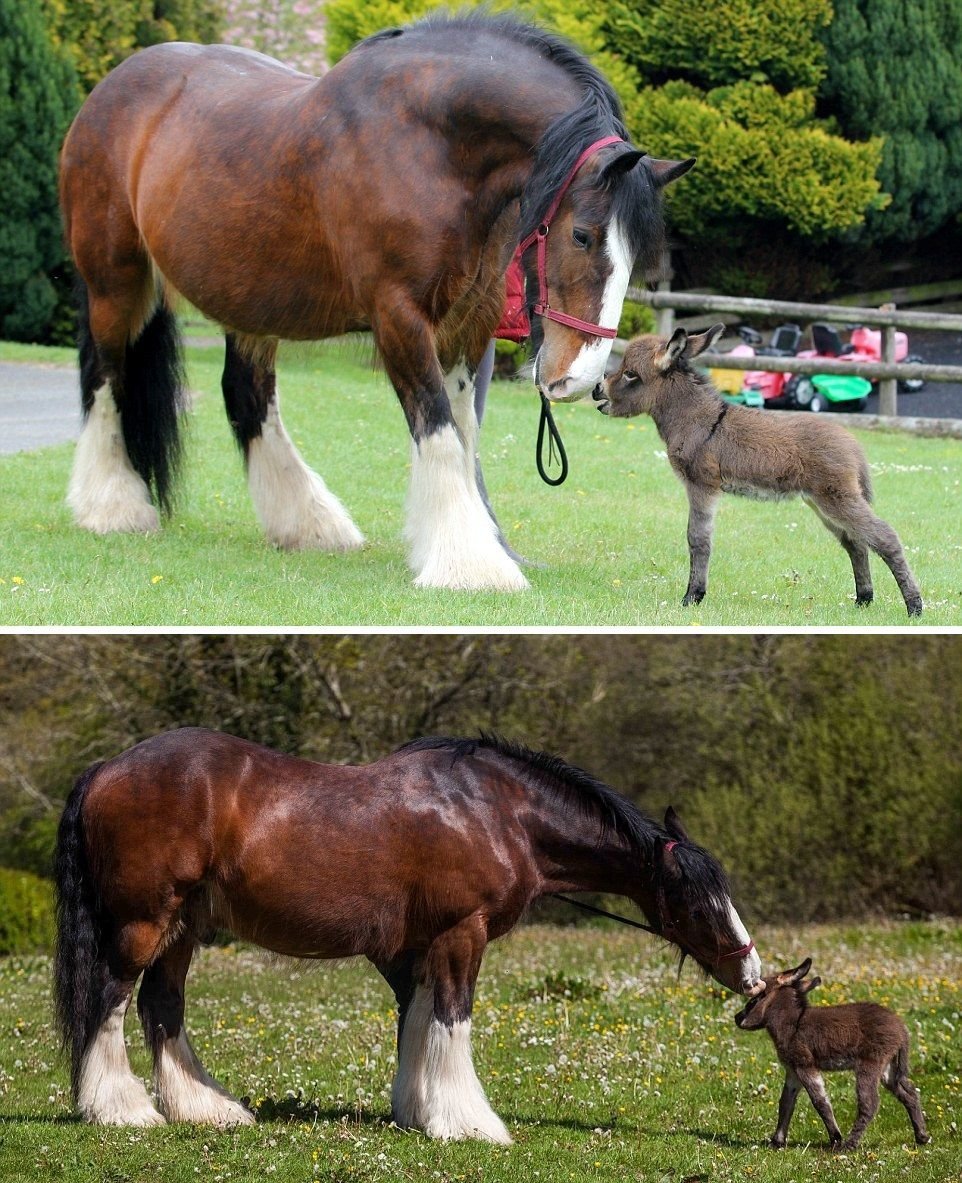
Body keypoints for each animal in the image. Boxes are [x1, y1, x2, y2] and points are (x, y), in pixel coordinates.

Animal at [54, 728, 764, 1141]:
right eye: (698, 900)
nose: (753, 975)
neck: (496, 811)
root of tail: (106, 768)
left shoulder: (417, 950)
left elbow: (420, 1024)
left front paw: (421, 1112)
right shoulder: (461, 935)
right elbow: (452, 1021)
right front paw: (470, 1123)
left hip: (183, 927)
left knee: (162, 1006)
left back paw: (206, 1109)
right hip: (144, 922)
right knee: (111, 1001)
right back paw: (122, 1109)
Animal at [59, 13, 693, 591]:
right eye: (582, 235)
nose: (577, 378)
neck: (430, 146)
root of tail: (112, 88)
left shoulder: (468, 326)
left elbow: (464, 436)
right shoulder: (399, 320)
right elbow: (438, 432)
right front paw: (472, 565)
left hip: (248, 301)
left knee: (247, 395)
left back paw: (308, 523)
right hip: (115, 284)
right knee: (105, 378)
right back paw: (112, 507)